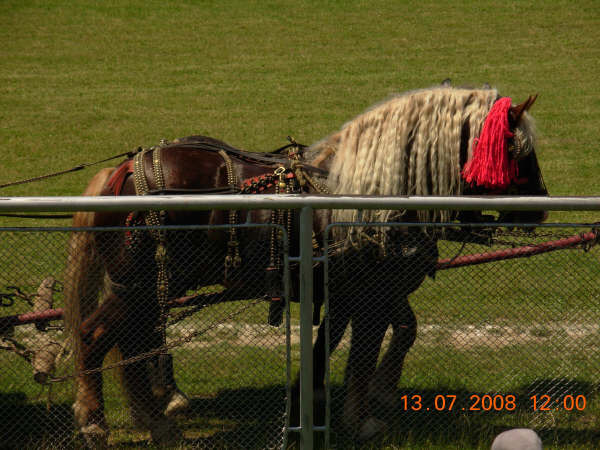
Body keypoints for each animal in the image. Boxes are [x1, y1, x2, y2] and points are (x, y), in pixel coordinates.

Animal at [64, 85, 548, 446]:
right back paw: (97, 421)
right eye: (518, 149)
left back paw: (155, 419)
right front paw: (362, 418)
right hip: (138, 285)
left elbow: (359, 341)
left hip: (145, 288)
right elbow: (362, 353)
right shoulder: (370, 293)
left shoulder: (364, 289)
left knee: (132, 342)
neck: (368, 193)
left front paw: (328, 399)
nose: (542, 206)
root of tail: (121, 173)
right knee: (96, 337)